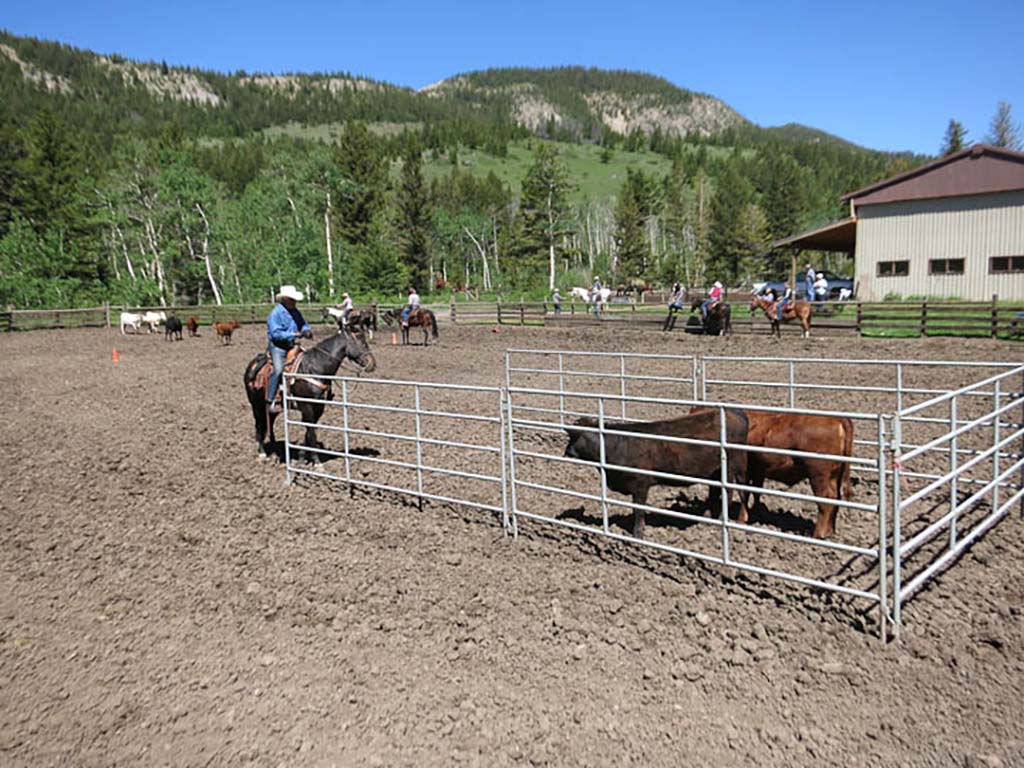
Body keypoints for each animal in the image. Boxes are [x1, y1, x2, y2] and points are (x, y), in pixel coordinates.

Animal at [565, 409, 749, 540]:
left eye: (573, 436)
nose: (566, 452)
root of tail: (736, 414)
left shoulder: (640, 484)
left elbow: (638, 510)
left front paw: (638, 534)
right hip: (714, 471)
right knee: (715, 491)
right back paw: (708, 518)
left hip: (729, 467)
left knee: (728, 491)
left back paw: (720, 520)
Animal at [692, 405, 851, 536]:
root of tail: (836, 419)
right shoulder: (757, 470)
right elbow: (755, 492)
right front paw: (757, 512)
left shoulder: (742, 470)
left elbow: (742, 492)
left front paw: (741, 519)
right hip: (834, 475)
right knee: (836, 497)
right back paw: (830, 531)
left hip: (818, 474)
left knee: (826, 499)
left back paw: (818, 534)